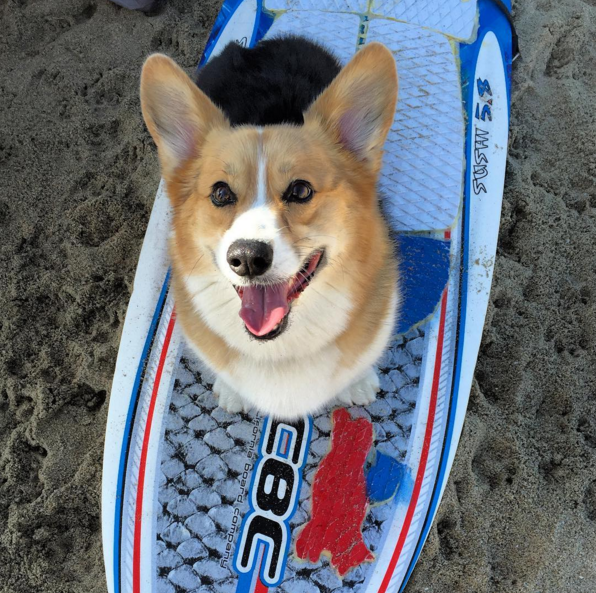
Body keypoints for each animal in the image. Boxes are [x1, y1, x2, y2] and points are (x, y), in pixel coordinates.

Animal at [140, 34, 400, 418]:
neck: (279, 349)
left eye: (301, 190)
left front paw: (357, 382)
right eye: (220, 193)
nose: (248, 257)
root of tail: (250, 49)